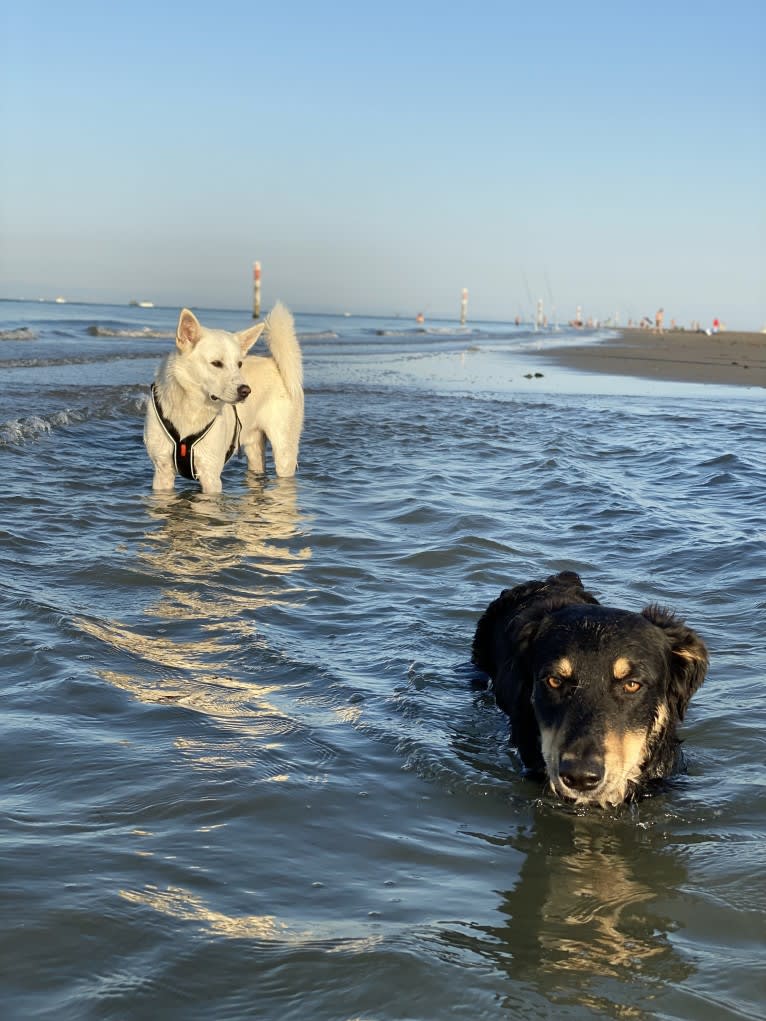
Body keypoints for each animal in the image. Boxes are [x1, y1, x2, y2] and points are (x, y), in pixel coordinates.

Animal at [144, 300, 302, 492]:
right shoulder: (162, 472)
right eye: (216, 363)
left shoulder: (210, 475)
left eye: (239, 364)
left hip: (284, 451)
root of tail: (274, 362)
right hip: (254, 448)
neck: (191, 407)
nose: (246, 391)